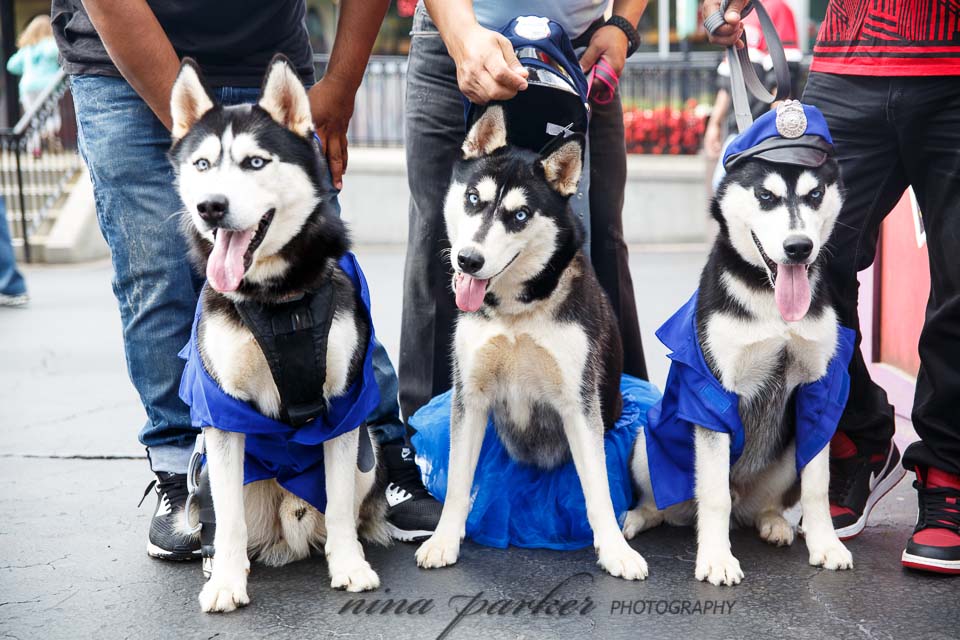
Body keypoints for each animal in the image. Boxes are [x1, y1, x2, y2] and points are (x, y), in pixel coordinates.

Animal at [169, 57, 386, 612]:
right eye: (202, 164)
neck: (276, 299)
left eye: (254, 163)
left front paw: (349, 565)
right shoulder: (222, 414)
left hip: (369, 454)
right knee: (223, 517)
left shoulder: (343, 405)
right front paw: (226, 581)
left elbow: (338, 504)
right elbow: (226, 522)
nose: (210, 206)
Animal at [416, 106, 648, 580]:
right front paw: (444, 540)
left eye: (520, 216)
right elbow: (459, 481)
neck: (516, 312)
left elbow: (597, 489)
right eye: (473, 198)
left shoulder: (579, 405)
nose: (468, 260)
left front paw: (615, 550)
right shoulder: (470, 397)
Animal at [624, 152, 856, 584]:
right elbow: (714, 494)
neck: (770, 299)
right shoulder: (714, 394)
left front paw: (826, 544)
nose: (799, 248)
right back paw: (637, 517)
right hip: (646, 444)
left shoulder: (818, 392)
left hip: (786, 457)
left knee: (763, 506)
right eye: (766, 195)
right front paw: (716, 558)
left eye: (815, 194)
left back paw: (773, 523)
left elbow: (818, 486)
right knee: (664, 502)